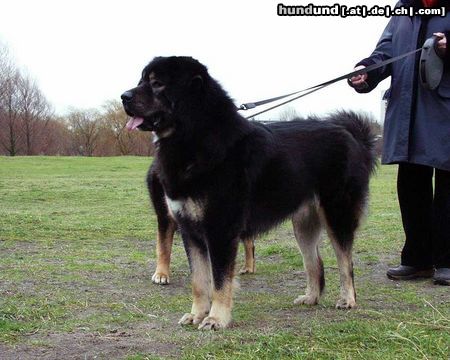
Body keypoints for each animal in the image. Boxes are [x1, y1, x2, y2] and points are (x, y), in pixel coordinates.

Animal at [122, 57, 376, 330]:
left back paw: (348, 299)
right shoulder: (190, 231)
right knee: (314, 264)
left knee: (345, 262)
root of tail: (353, 136)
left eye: (157, 83)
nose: (123, 96)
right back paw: (311, 297)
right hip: (304, 225)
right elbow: (199, 282)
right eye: (141, 80)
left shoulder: (220, 230)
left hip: (337, 215)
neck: (197, 137)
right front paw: (196, 314)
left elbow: (220, 281)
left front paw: (216, 319)